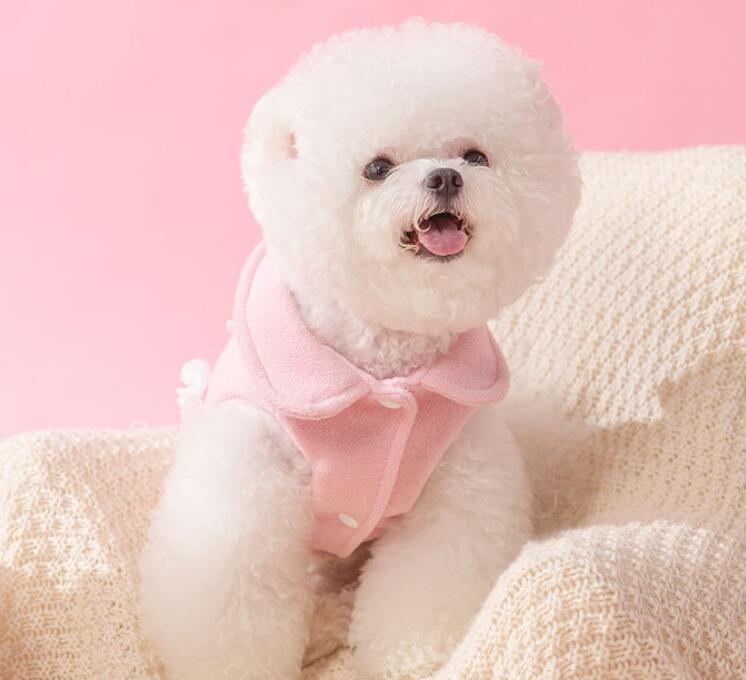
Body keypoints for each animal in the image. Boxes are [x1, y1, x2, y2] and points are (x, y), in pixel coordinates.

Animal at [139, 18, 580, 680]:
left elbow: (426, 588)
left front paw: (414, 659)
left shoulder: (456, 491)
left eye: (475, 156)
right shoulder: (243, 492)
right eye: (377, 167)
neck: (381, 364)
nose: (444, 176)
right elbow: (234, 601)